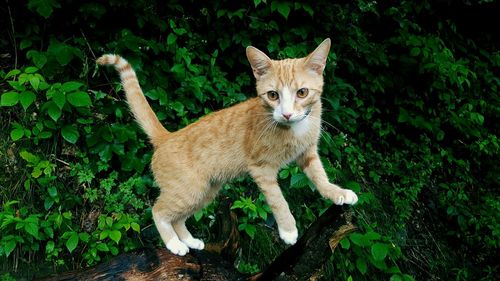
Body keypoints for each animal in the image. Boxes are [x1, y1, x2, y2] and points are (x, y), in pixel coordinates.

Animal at [96, 38, 356, 255]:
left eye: (302, 93)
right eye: (273, 95)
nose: (287, 114)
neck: (292, 128)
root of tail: (167, 137)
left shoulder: (307, 154)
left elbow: (320, 177)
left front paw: (337, 193)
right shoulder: (261, 169)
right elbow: (278, 200)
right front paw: (288, 230)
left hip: (204, 192)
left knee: (178, 217)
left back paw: (189, 241)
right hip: (188, 190)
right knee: (158, 210)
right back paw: (174, 244)